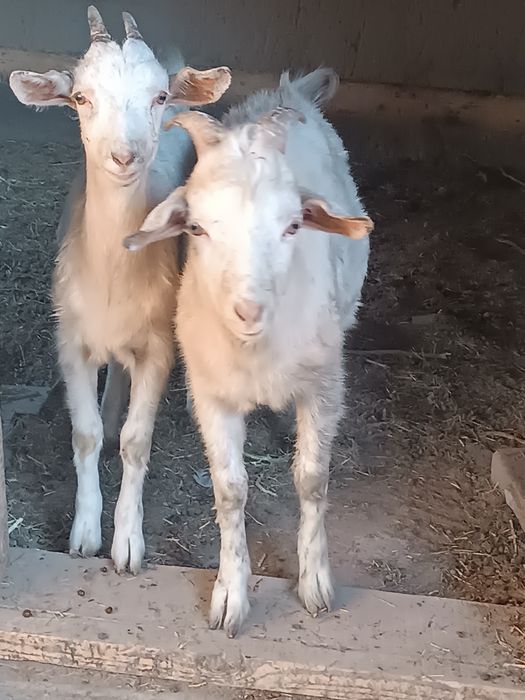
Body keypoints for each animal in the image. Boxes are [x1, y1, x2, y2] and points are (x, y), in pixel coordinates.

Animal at [9, 6, 231, 574]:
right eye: (80, 98)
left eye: (158, 97)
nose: (124, 155)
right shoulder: (70, 340)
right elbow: (84, 434)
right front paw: (85, 533)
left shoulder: (158, 345)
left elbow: (137, 441)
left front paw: (127, 542)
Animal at [125, 67, 373, 635]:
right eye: (196, 227)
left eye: (293, 225)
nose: (249, 310)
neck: (256, 353)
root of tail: (286, 90)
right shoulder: (213, 396)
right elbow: (230, 490)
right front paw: (231, 596)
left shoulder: (325, 386)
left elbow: (312, 479)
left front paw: (315, 583)